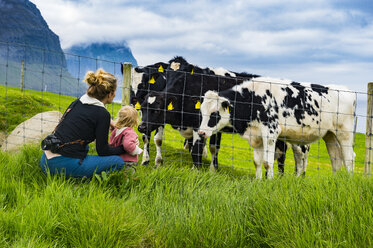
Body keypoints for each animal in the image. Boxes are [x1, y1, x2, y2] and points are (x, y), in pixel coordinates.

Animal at [198, 77, 354, 178]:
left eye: (214, 113)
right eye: (201, 111)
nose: (201, 132)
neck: (253, 99)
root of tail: (345, 90)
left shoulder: (271, 132)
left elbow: (267, 162)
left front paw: (270, 181)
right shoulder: (256, 135)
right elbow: (257, 162)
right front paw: (258, 181)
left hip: (344, 133)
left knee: (349, 159)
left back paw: (349, 181)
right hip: (330, 135)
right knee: (336, 160)